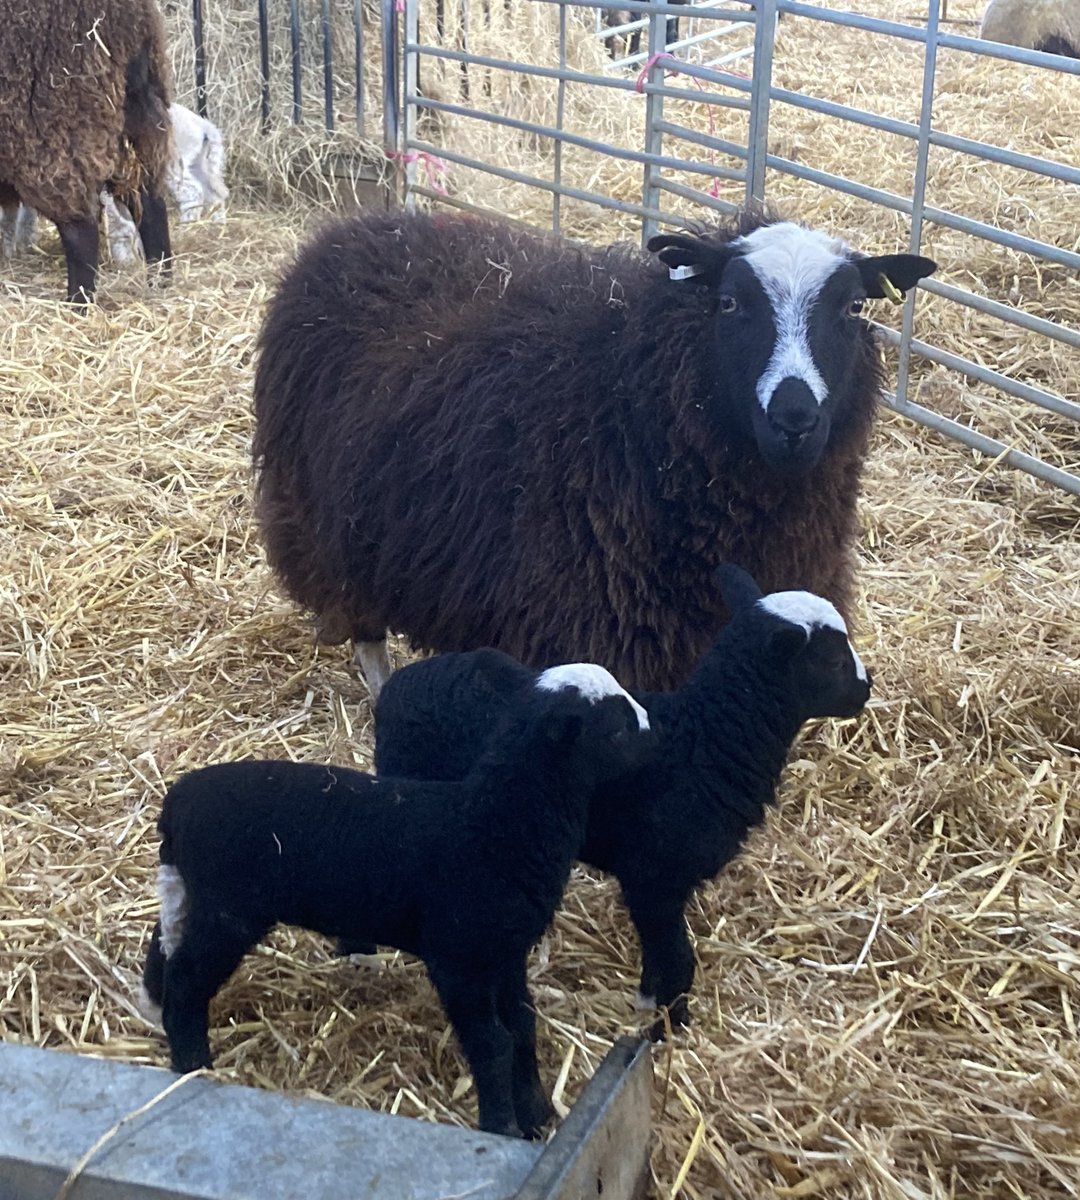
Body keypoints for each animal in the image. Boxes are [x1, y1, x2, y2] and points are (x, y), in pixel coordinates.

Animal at [0, 0, 173, 304]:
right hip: (138, 111)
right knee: (148, 197)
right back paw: (159, 280)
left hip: (57, 121)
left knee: (82, 228)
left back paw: (78, 304)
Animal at [139, 667, 653, 1137]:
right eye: (617, 727)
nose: (656, 734)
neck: (494, 824)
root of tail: (177, 801)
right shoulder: (457, 959)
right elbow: (492, 1043)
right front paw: (499, 1126)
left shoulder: (505, 953)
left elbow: (523, 1027)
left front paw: (534, 1114)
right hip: (229, 911)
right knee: (185, 979)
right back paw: (193, 1065)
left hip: (194, 895)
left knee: (164, 947)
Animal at [253, 208, 934, 698]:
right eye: (729, 302)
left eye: (853, 307)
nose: (795, 419)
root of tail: (350, 229)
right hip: (323, 525)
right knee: (360, 623)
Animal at [372, 564, 872, 1036]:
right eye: (830, 660)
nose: (866, 688)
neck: (706, 738)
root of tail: (400, 684)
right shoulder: (653, 877)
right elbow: (674, 957)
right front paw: (666, 1019)